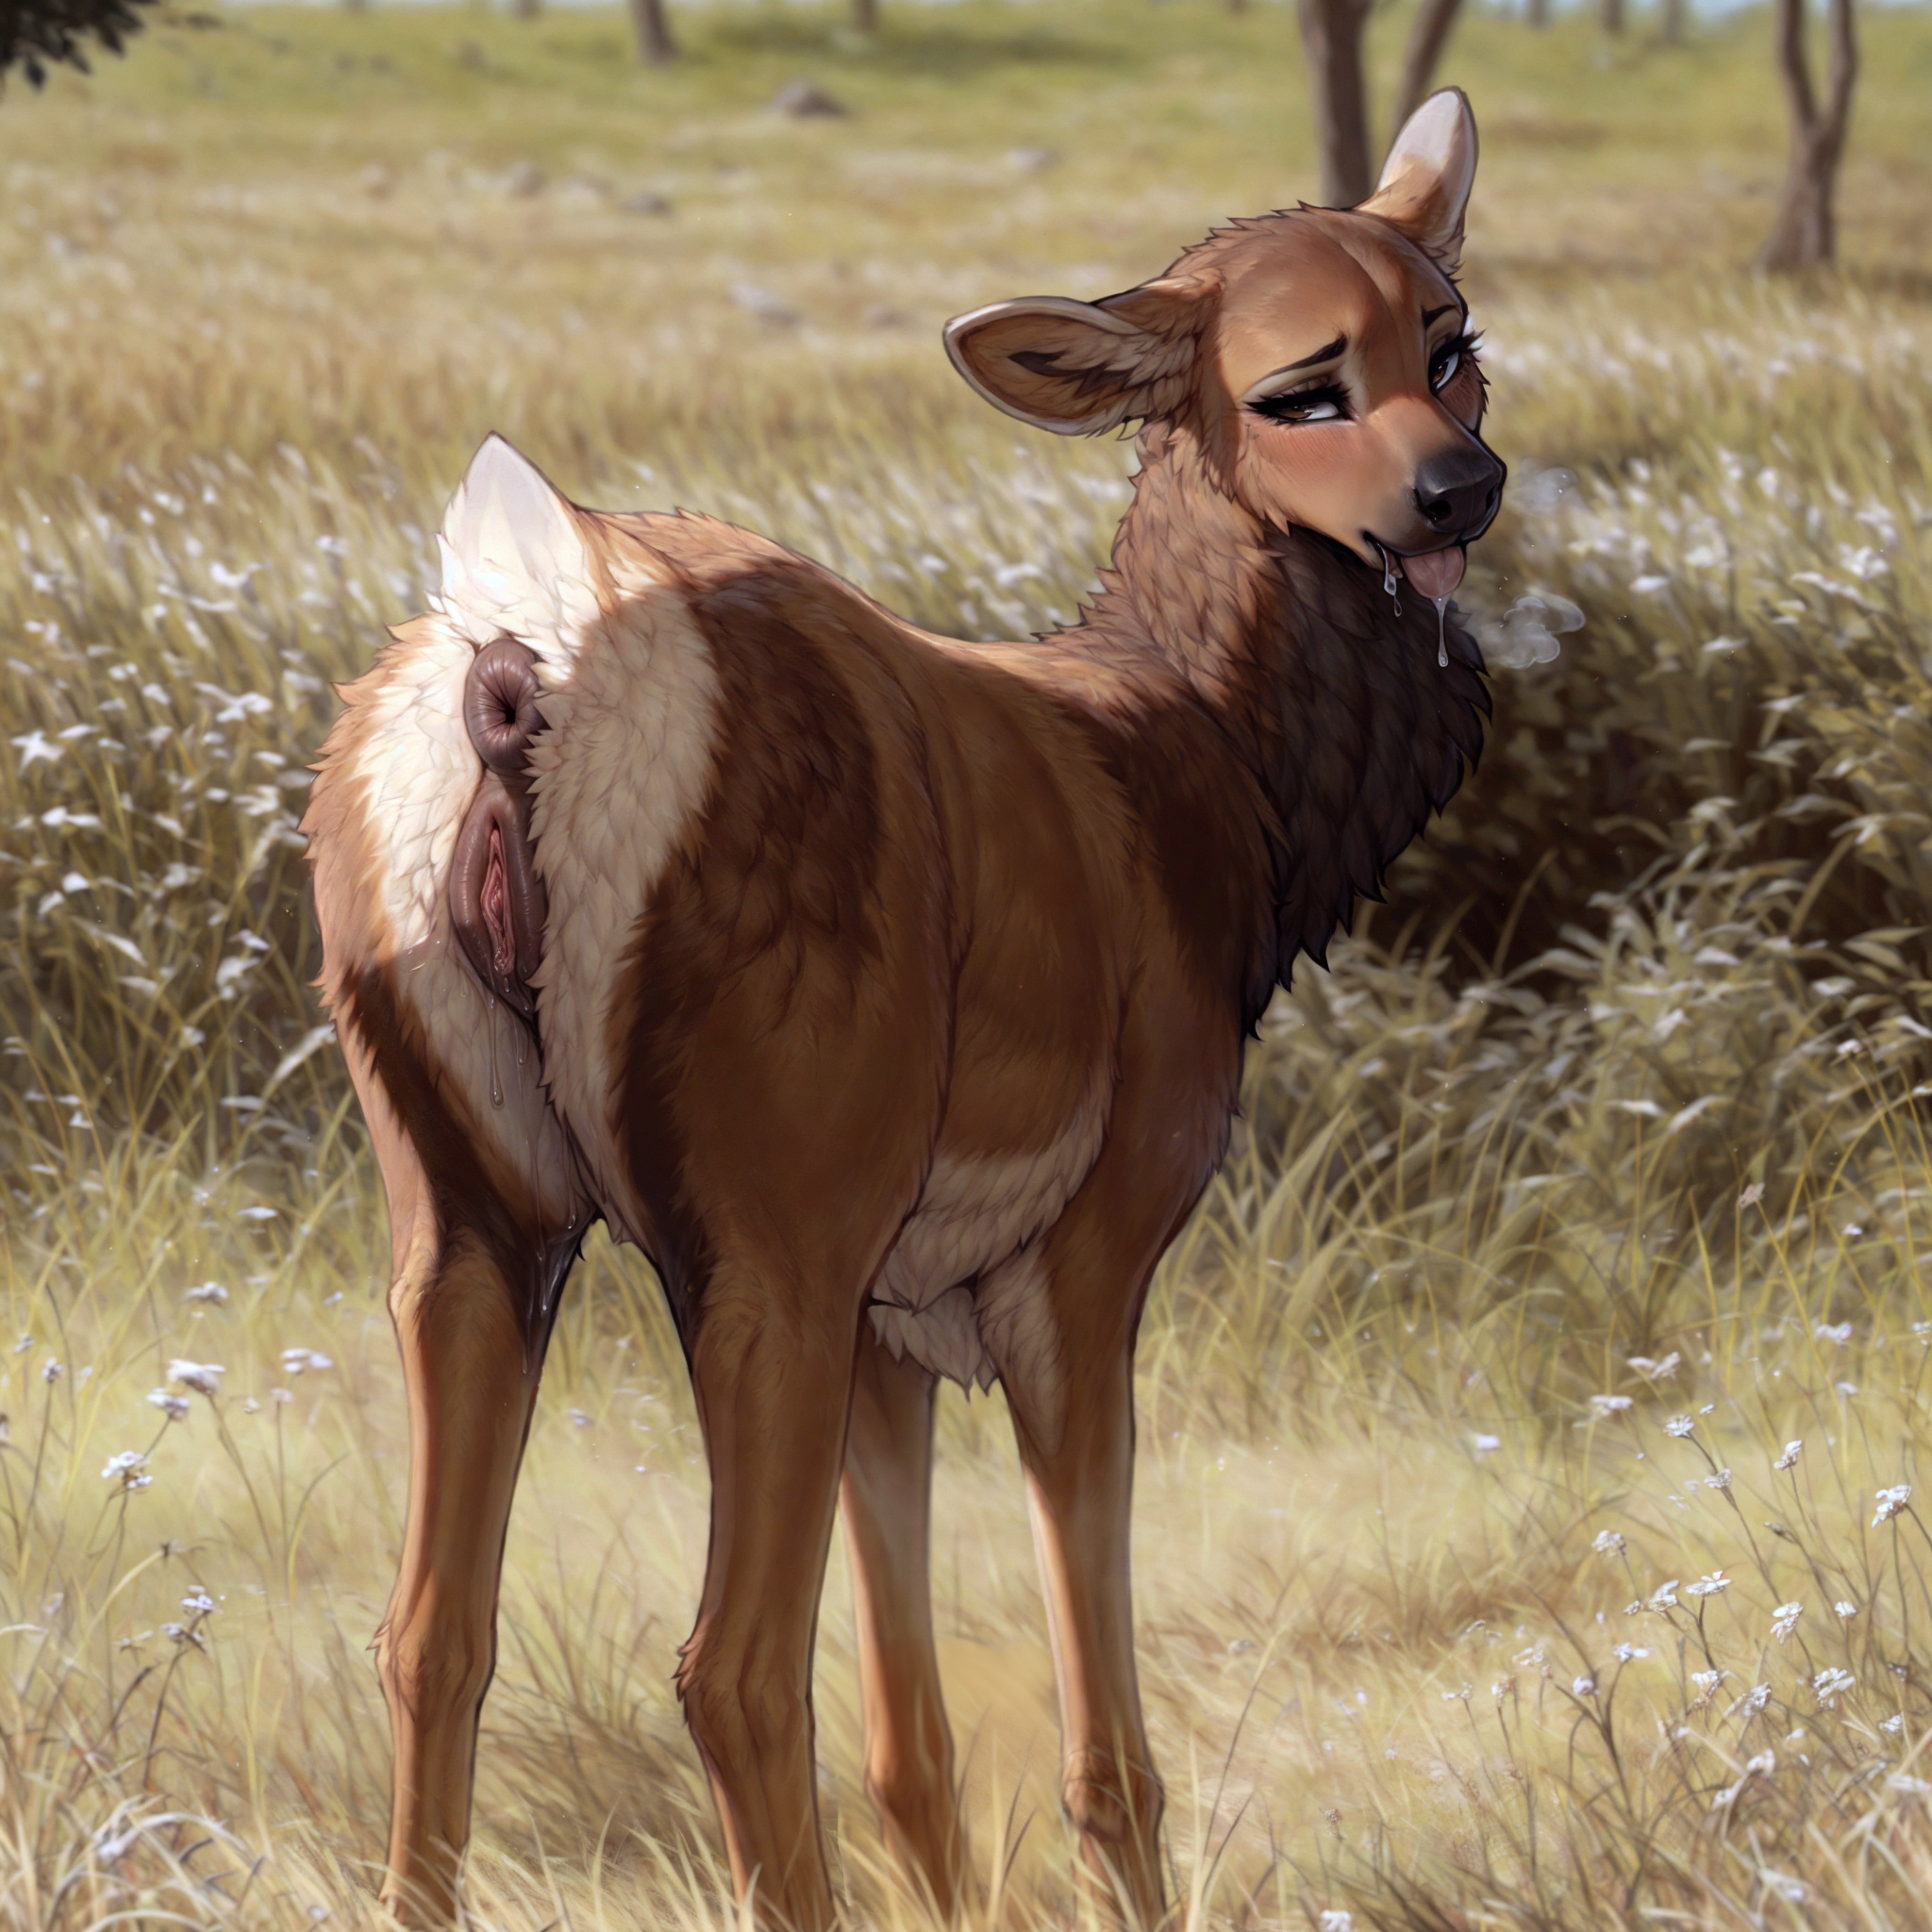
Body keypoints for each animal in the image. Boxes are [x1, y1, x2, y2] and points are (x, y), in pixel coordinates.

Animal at [302, 88, 1504, 1932]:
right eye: (1302, 382)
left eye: (1454, 345)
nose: (1462, 489)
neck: (1209, 782)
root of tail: (526, 658)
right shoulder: (1076, 1256)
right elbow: (1099, 1752)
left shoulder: (890, 1318)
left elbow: (914, 1748)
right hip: (762, 1222)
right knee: (726, 1669)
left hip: (465, 1204)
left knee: (428, 1630)